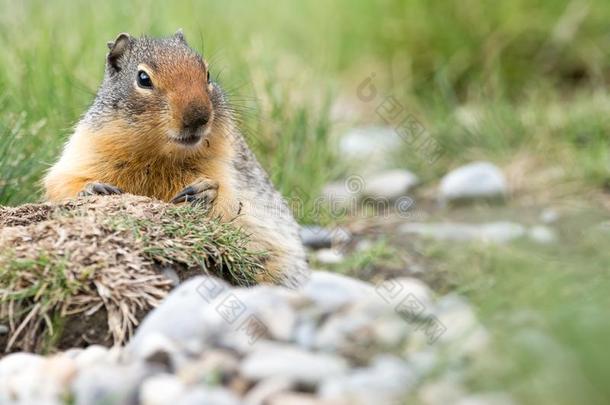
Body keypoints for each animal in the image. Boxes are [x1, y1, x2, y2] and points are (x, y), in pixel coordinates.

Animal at [44, 30, 306, 284]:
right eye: (143, 78)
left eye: (207, 74)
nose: (199, 116)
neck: (158, 156)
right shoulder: (86, 150)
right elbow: (60, 182)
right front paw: (94, 189)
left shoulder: (227, 167)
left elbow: (231, 205)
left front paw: (205, 191)